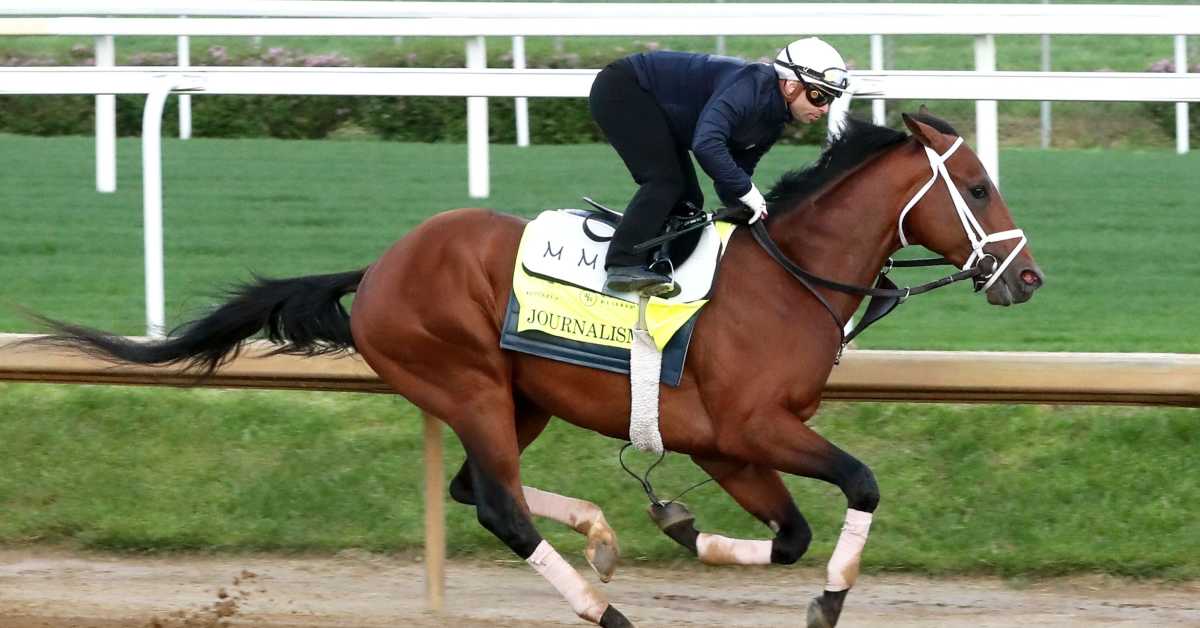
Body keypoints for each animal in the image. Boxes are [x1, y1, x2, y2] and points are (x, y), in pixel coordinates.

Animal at [35, 109, 1043, 628]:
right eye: (979, 185)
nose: (1027, 276)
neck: (787, 278)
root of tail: (382, 266)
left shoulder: (727, 446)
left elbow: (791, 533)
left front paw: (683, 527)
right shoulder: (753, 428)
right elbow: (860, 484)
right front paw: (829, 601)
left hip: (518, 398)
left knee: (478, 487)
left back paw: (601, 535)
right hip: (467, 382)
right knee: (501, 505)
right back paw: (604, 610)